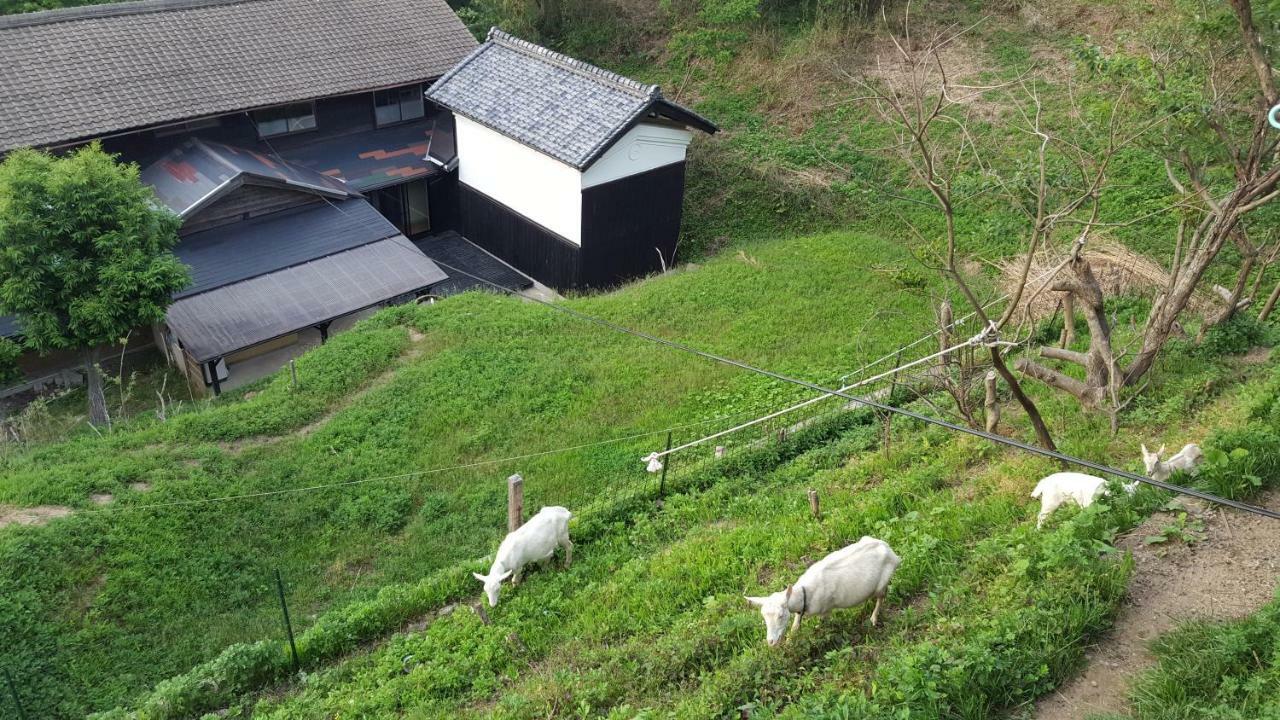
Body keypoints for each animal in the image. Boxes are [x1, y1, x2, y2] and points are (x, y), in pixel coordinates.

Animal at [742, 532, 901, 645]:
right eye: (764, 617)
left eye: (781, 616)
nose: (771, 642)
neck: (804, 594)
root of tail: (891, 552)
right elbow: (795, 627)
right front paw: (789, 641)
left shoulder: (826, 609)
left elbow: (821, 625)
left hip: (883, 582)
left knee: (881, 597)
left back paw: (873, 618)